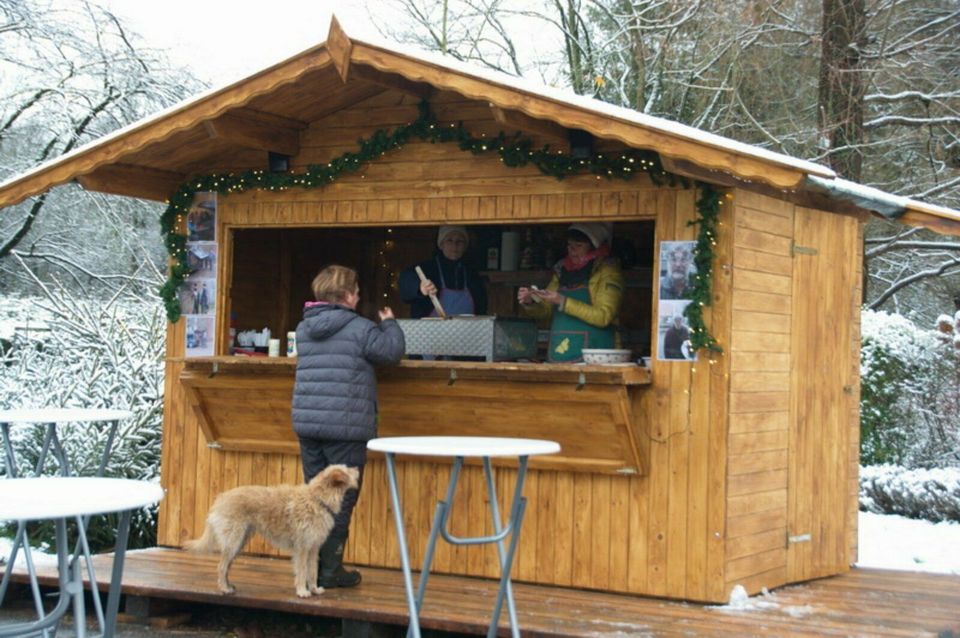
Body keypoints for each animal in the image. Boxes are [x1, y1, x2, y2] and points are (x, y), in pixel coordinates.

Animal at [183, 464, 356, 600]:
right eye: (347, 469)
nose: (357, 469)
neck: (317, 500)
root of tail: (220, 498)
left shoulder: (313, 549)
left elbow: (312, 572)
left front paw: (314, 589)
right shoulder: (302, 549)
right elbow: (302, 572)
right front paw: (302, 591)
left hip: (239, 542)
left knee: (226, 567)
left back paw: (228, 585)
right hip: (233, 541)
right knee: (221, 566)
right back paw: (224, 589)